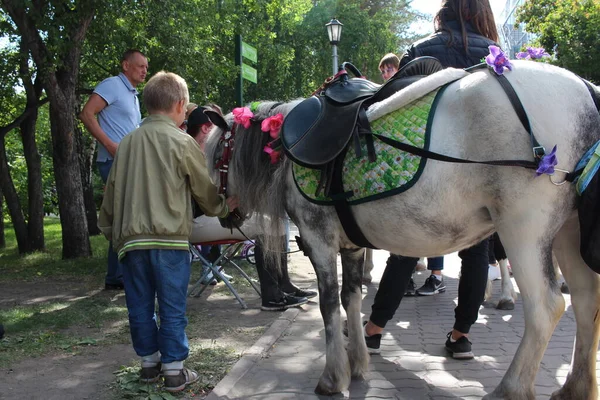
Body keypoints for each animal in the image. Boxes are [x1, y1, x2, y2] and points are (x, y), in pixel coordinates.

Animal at [206, 60, 600, 400]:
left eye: (215, 156)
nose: (220, 212)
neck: (285, 148)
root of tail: (586, 91)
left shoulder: (319, 239)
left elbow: (329, 305)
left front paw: (333, 378)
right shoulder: (351, 245)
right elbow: (351, 297)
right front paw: (358, 363)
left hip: (523, 230)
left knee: (546, 306)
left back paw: (511, 388)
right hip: (567, 234)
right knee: (585, 300)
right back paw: (575, 387)